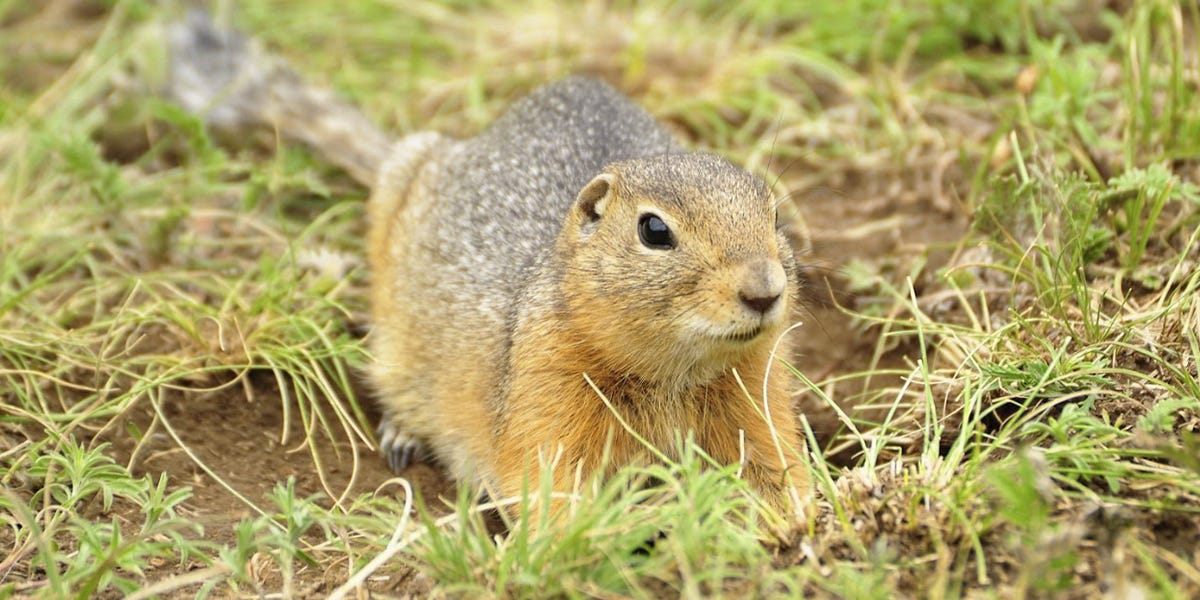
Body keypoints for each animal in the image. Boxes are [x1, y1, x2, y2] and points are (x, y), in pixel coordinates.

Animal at [166, 10, 806, 511]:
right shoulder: (545, 394)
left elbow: (774, 460)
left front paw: (797, 525)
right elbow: (549, 485)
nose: (764, 292)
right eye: (654, 230)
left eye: (774, 214)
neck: (675, 372)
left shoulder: (759, 389)